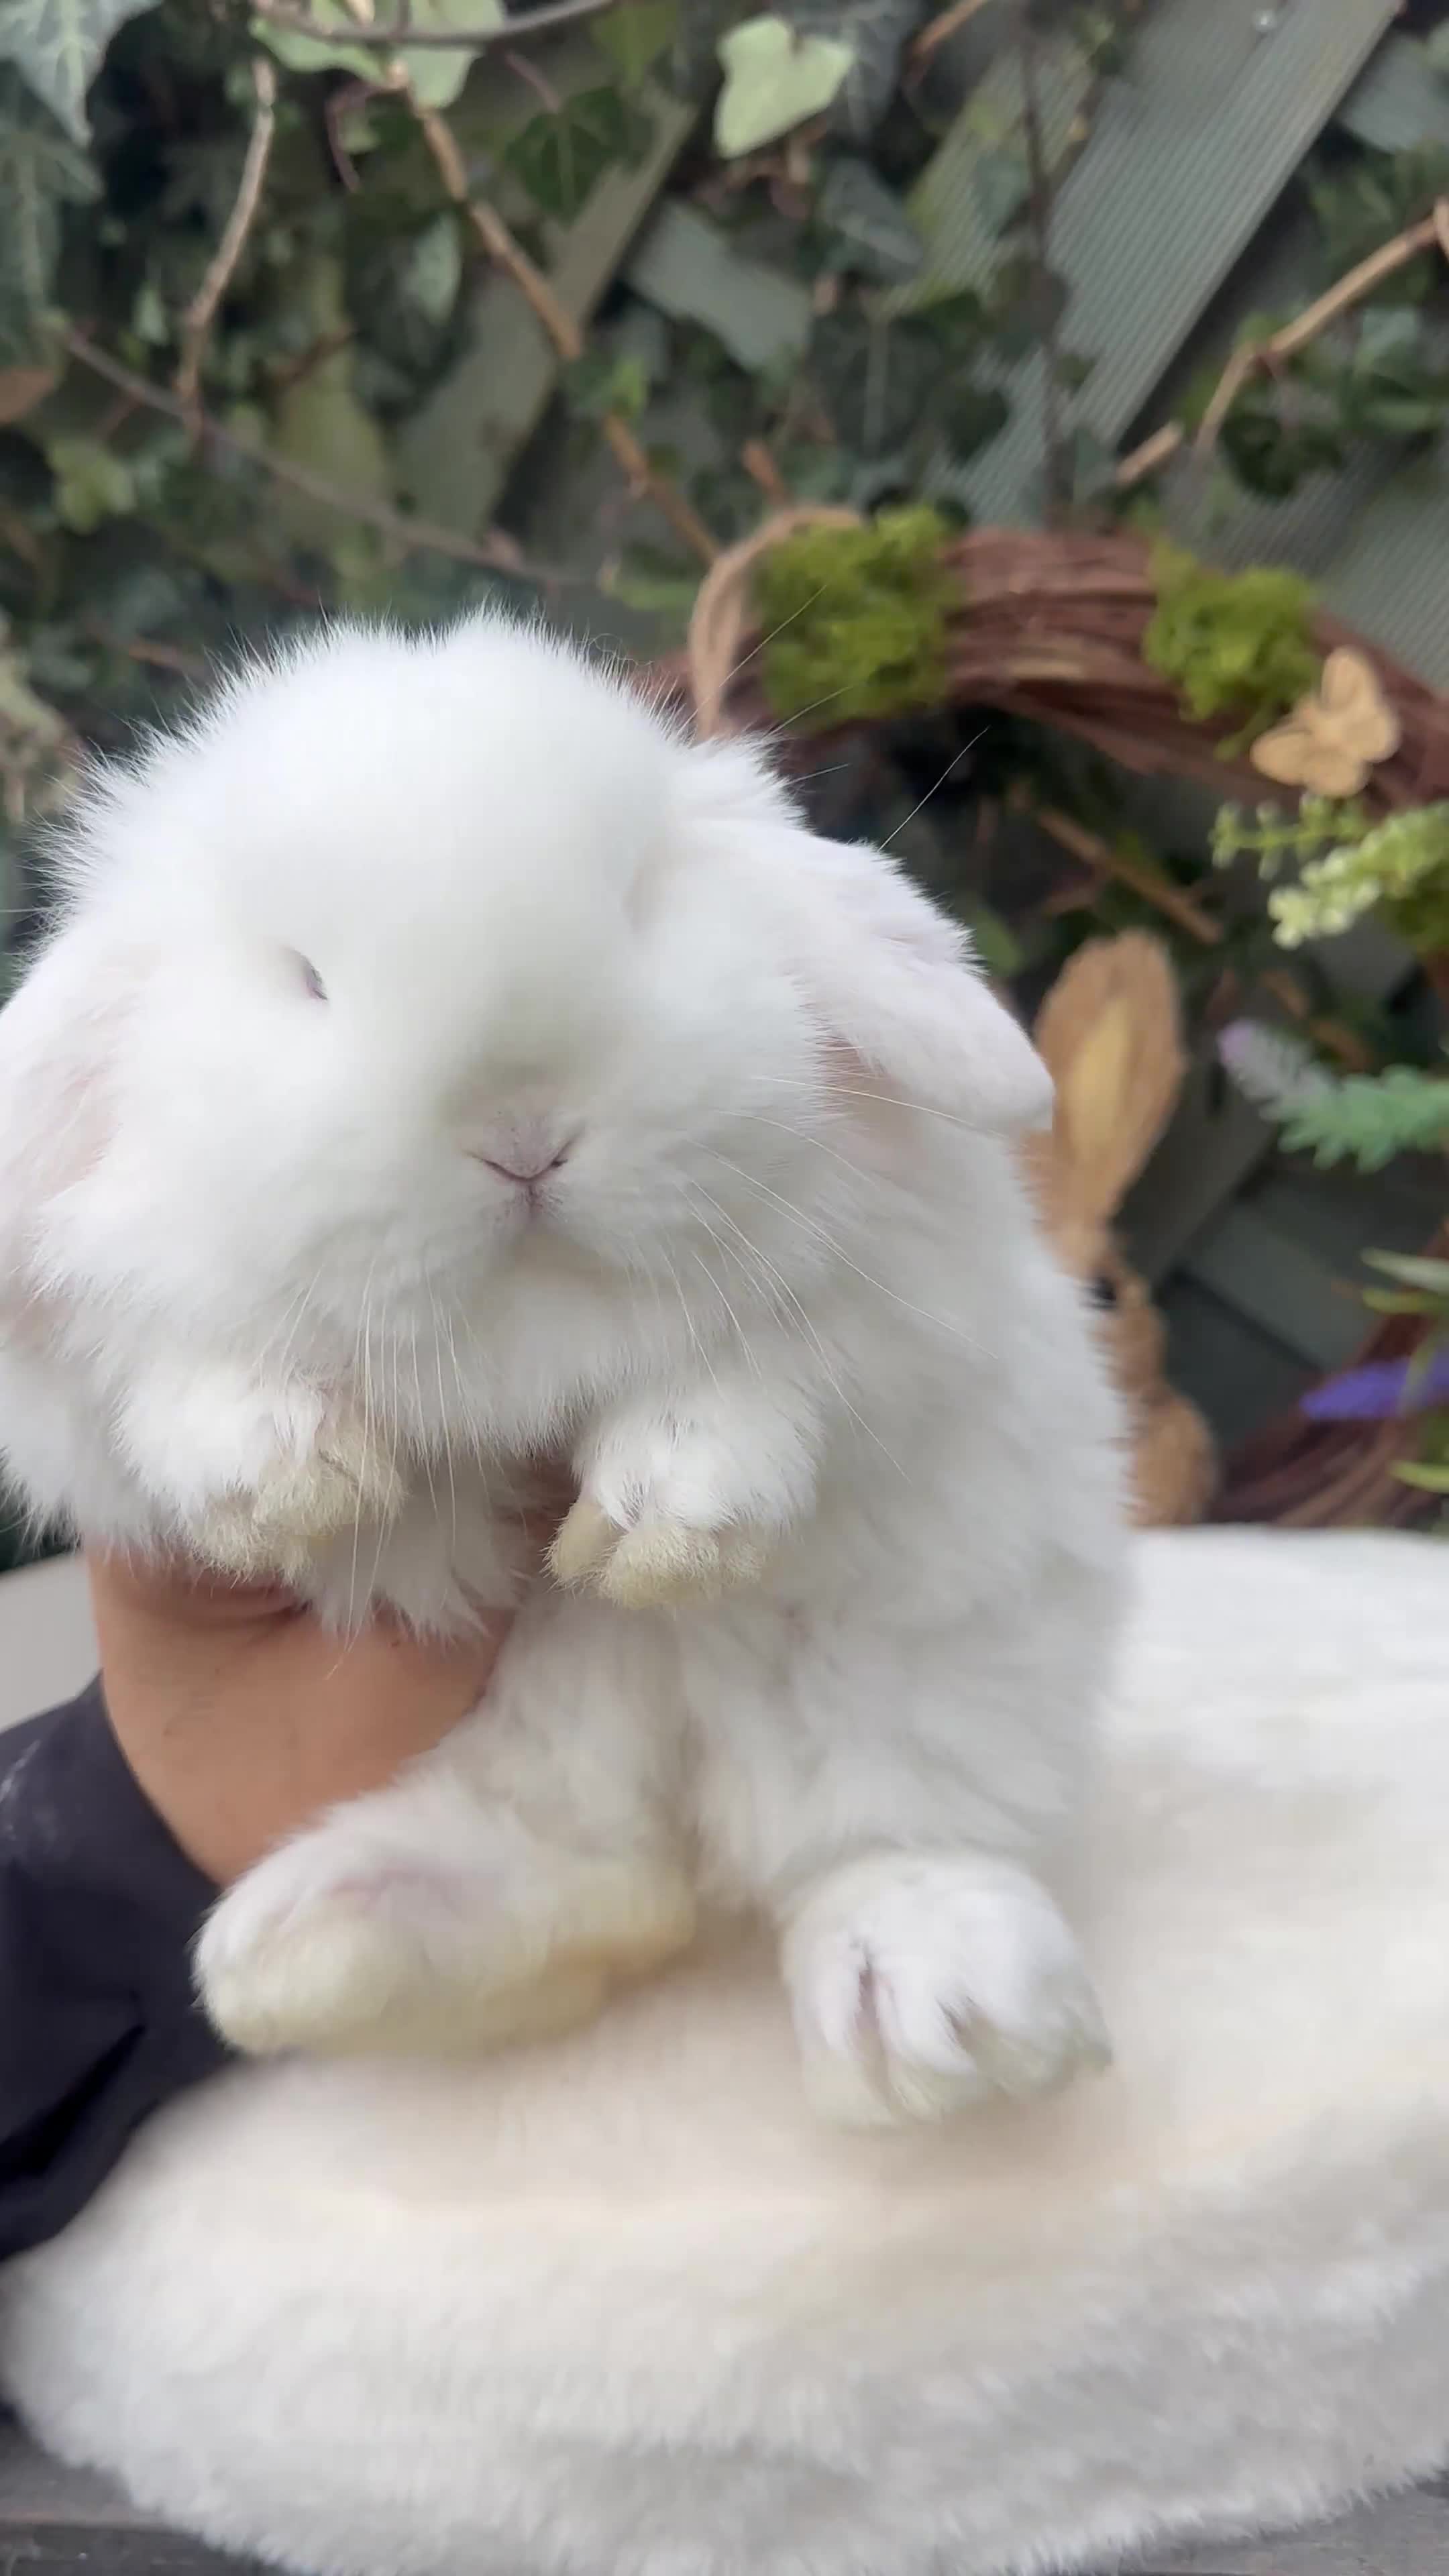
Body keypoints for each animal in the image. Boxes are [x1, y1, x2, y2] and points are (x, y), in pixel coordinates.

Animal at [0, 615, 1128, 2129]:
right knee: (596, 1890)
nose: (522, 1132)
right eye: (305, 978)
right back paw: (311, 1946)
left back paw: (936, 2011)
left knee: (866, 1842)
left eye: (641, 902)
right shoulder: (92, 1373)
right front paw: (289, 1477)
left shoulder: (900, 1292)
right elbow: (174, 1369)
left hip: (941, 1666)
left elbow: (768, 1368)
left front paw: (668, 1521)